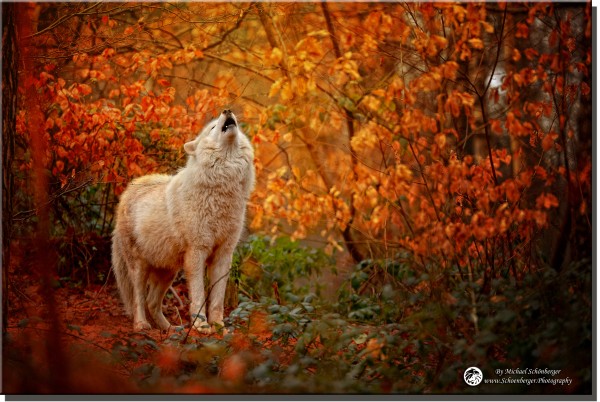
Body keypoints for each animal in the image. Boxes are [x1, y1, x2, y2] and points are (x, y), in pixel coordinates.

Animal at [112, 109, 255, 332]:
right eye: (212, 127)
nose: (227, 110)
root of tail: (128, 191)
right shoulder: (197, 252)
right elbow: (198, 295)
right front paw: (200, 325)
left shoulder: (224, 255)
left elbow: (217, 299)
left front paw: (218, 326)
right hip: (139, 268)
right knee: (138, 299)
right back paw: (142, 325)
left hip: (168, 272)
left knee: (152, 302)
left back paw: (169, 328)